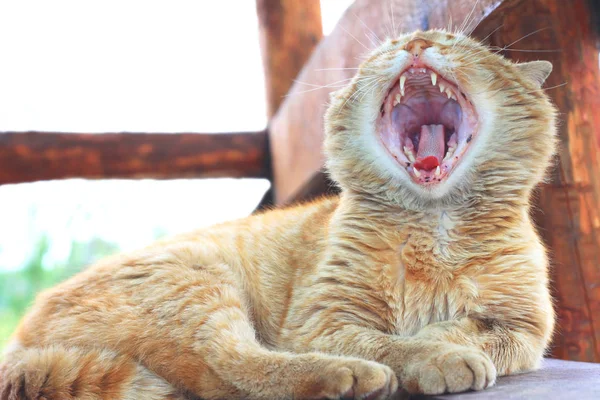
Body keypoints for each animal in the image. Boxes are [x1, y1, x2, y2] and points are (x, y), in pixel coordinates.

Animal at [0, 28, 556, 400]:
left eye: (456, 42)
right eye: (384, 50)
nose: (416, 41)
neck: (433, 227)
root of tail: (20, 341)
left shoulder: (525, 327)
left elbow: (476, 331)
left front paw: (444, 341)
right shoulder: (323, 321)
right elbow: (390, 343)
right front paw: (437, 356)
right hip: (197, 288)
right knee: (231, 365)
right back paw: (348, 376)